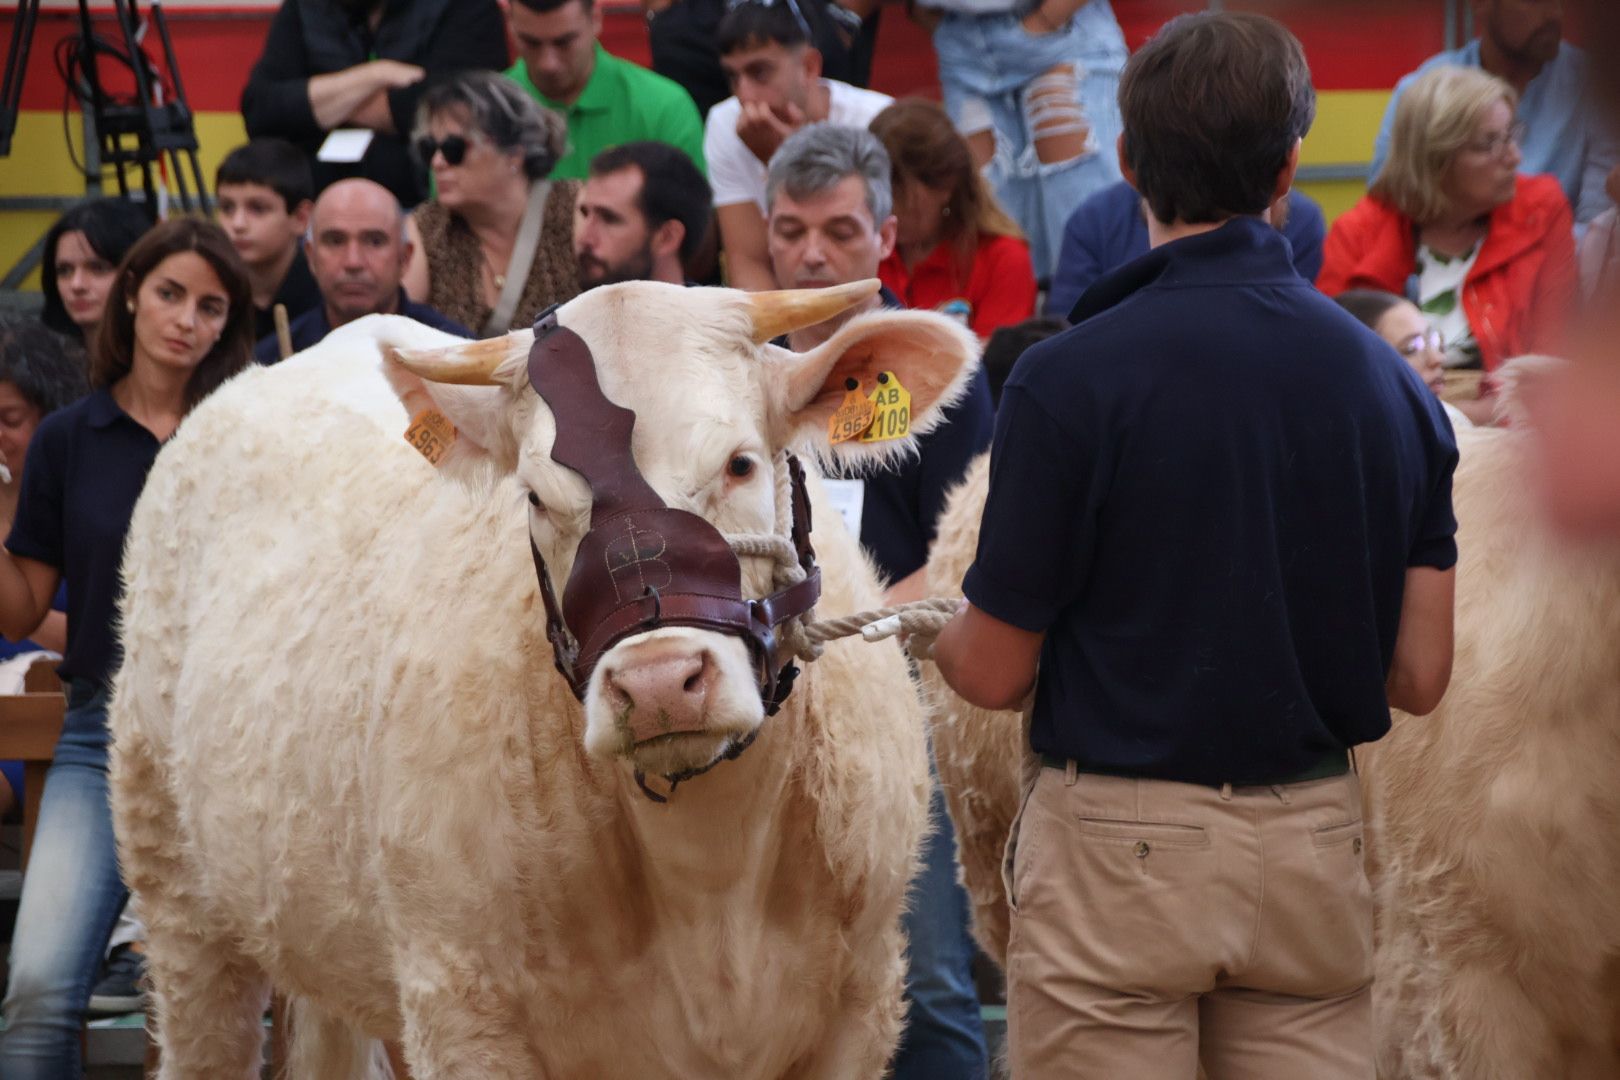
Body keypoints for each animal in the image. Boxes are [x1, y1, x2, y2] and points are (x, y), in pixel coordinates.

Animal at [110, 283, 984, 1075]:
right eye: (536, 496)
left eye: (739, 463)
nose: (659, 682)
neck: (710, 872)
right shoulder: (462, 1009)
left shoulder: (861, 1004)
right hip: (178, 897)